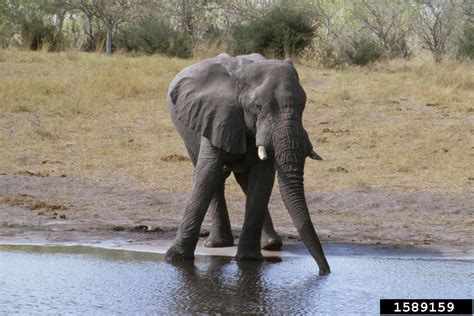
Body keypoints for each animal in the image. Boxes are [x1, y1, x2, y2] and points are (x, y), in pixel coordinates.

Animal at [166, 52, 330, 274]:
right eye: (257, 106)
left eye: (303, 105)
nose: (325, 271)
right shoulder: (217, 115)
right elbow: (207, 174)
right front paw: (175, 258)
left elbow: (262, 181)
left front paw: (249, 259)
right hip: (188, 132)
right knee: (215, 177)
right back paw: (218, 244)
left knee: (244, 181)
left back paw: (271, 244)